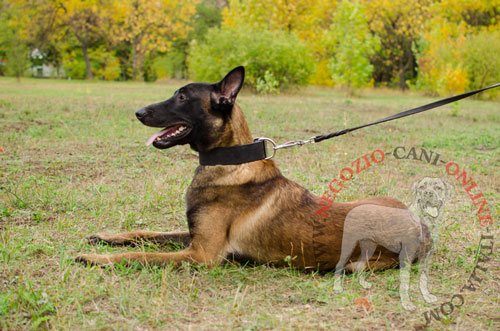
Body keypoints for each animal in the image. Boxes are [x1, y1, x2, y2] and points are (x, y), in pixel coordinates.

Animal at [75, 66, 430, 296]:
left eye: (182, 97)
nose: (138, 112)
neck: (229, 161)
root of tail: (422, 227)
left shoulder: (201, 254)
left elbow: (140, 255)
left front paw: (95, 259)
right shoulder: (194, 238)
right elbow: (145, 234)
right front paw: (105, 237)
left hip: (359, 258)